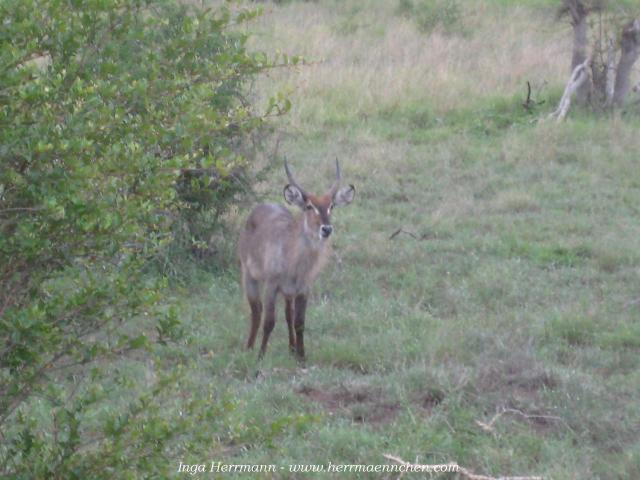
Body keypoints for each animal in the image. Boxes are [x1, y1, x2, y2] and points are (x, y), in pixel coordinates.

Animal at [238, 159, 356, 358]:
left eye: (331, 206)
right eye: (309, 206)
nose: (326, 228)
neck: (294, 261)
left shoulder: (303, 288)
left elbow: (299, 322)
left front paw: (301, 356)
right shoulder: (271, 285)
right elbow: (269, 321)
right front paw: (261, 356)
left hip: (287, 292)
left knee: (288, 313)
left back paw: (291, 348)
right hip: (249, 276)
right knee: (256, 310)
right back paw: (249, 347)